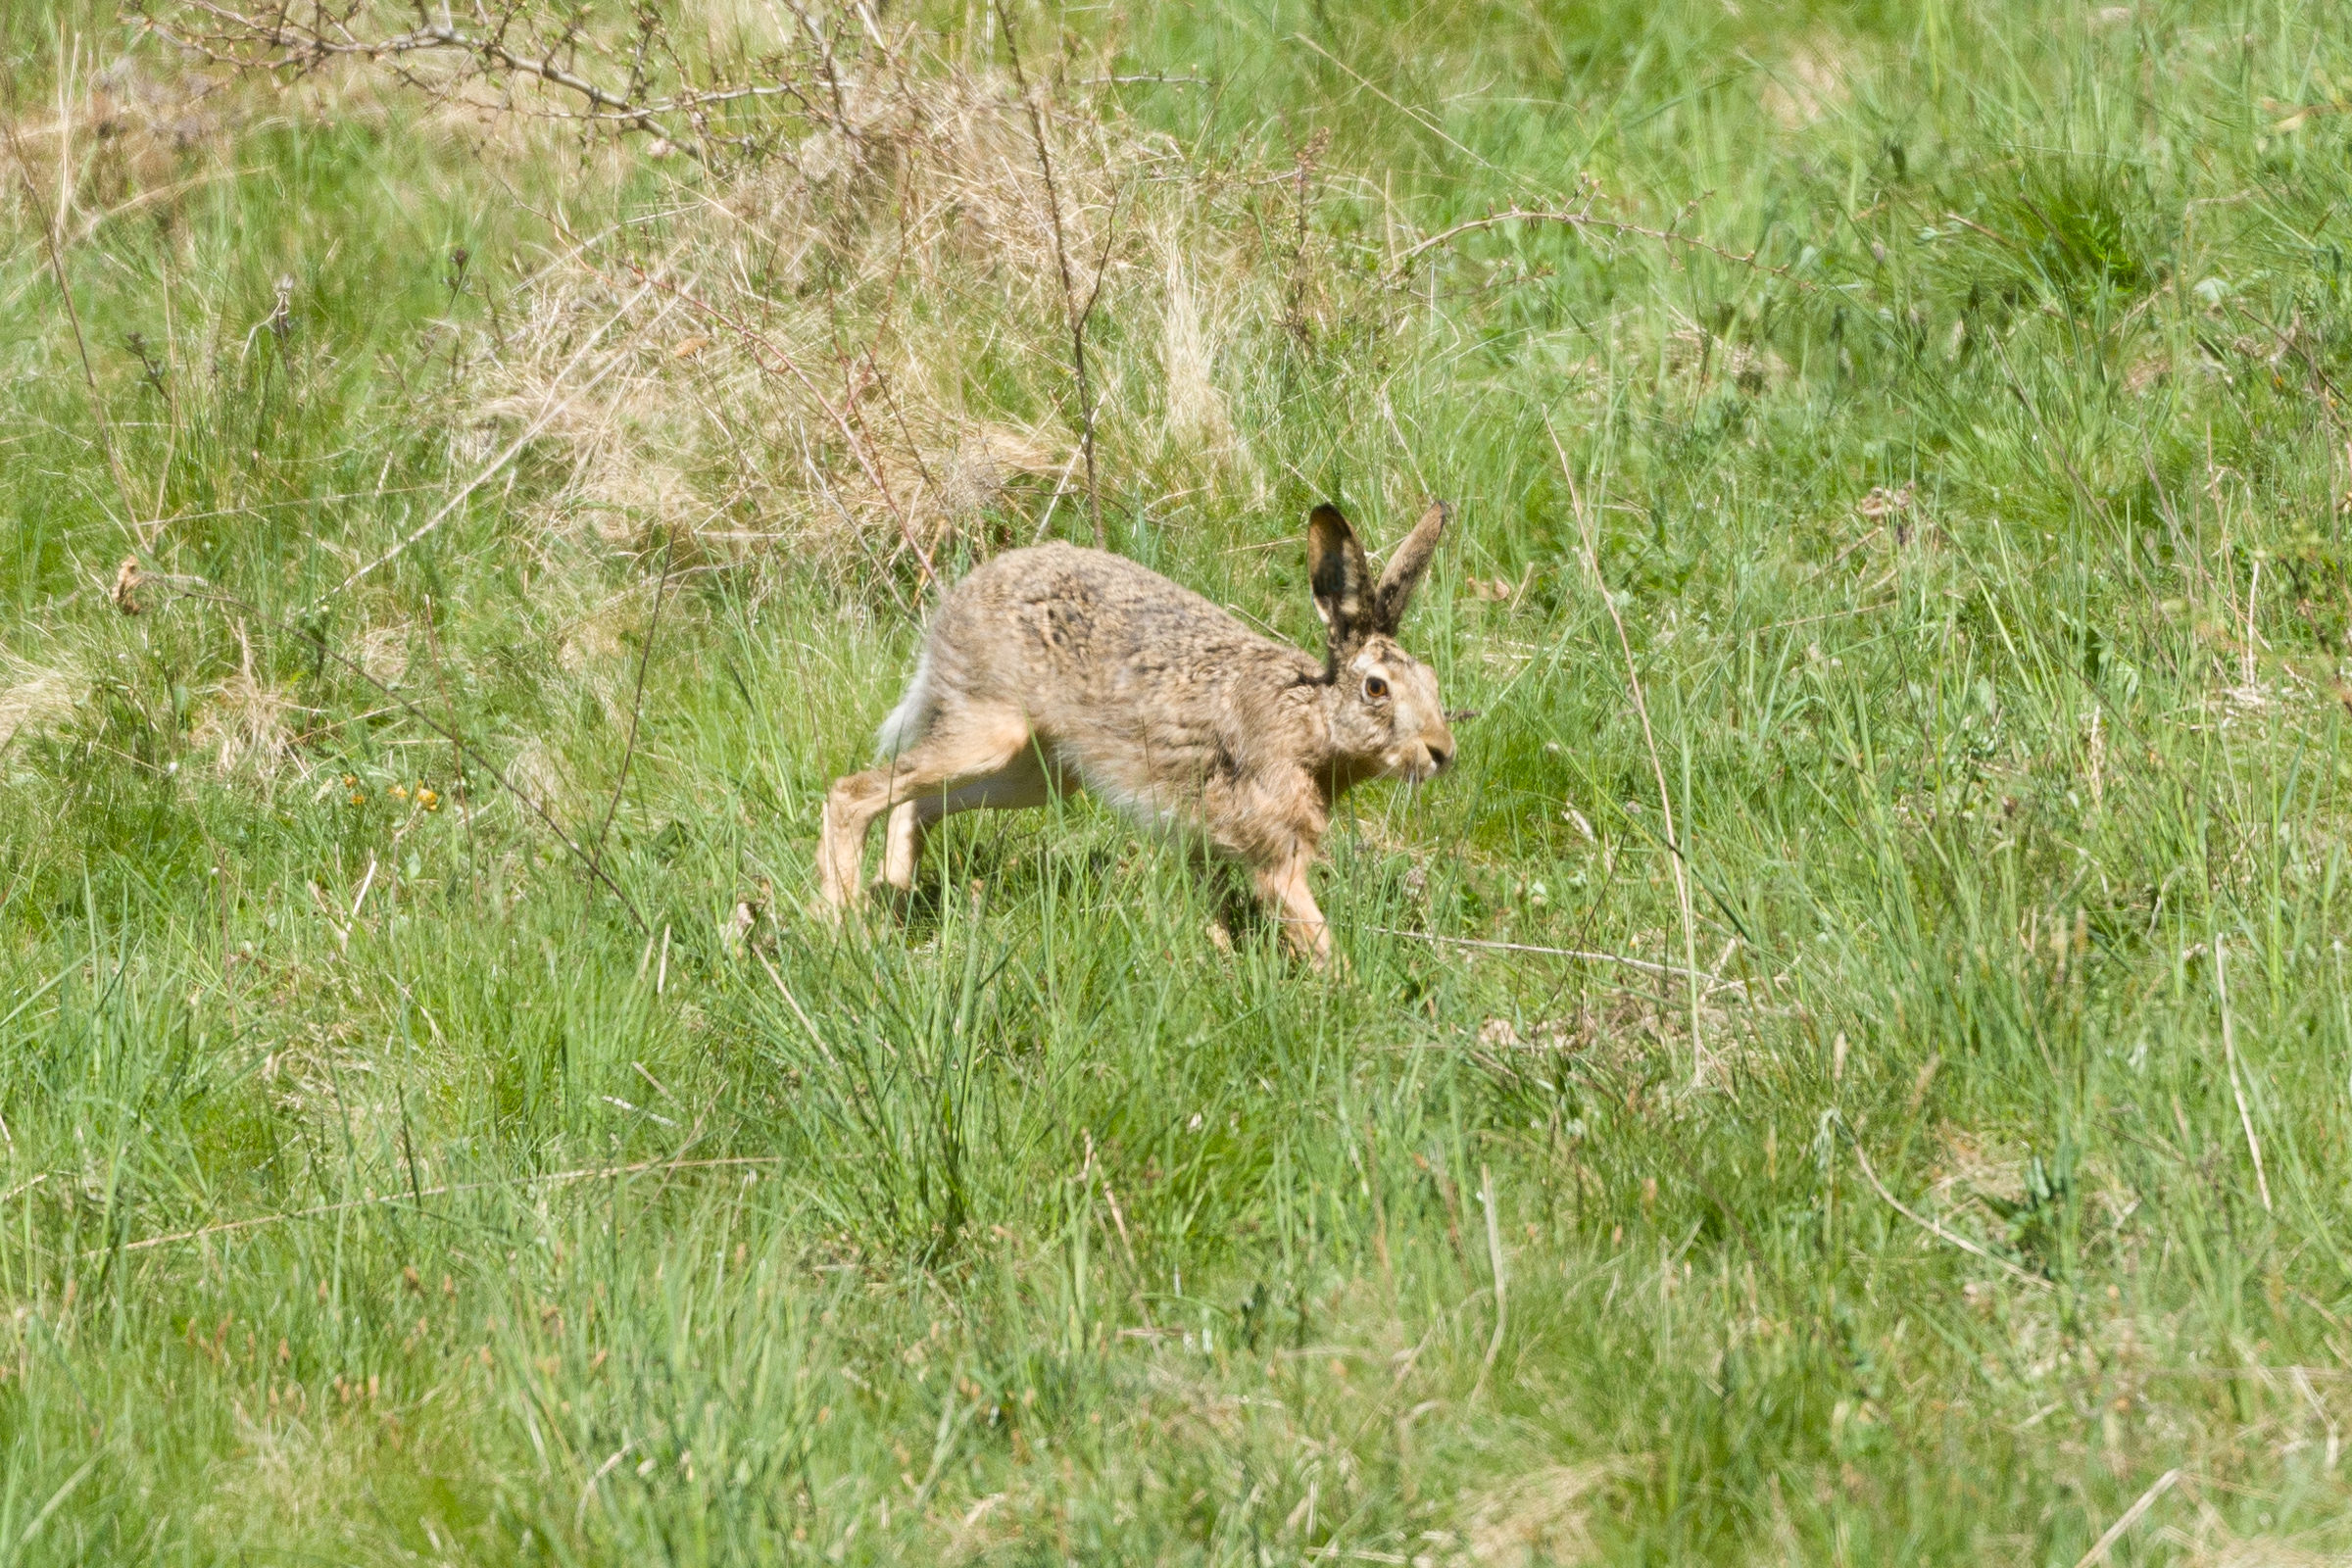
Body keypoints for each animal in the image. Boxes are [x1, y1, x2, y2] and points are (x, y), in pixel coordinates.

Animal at [817, 501, 1455, 964]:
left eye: (1432, 680)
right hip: (991, 733)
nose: (1442, 753)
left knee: (915, 804)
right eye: (1377, 688)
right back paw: (846, 928)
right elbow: (1311, 929)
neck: (1310, 719)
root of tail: (954, 605)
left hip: (1033, 773)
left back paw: (891, 895)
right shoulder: (1277, 855)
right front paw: (1350, 991)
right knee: (853, 794)